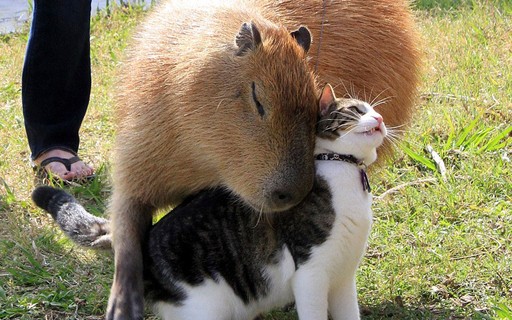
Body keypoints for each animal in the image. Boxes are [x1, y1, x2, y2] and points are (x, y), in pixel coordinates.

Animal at [33, 84, 388, 318]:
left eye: (374, 109)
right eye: (358, 110)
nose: (381, 119)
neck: (343, 169)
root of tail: (140, 242)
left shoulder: (343, 277)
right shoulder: (311, 274)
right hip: (206, 306)